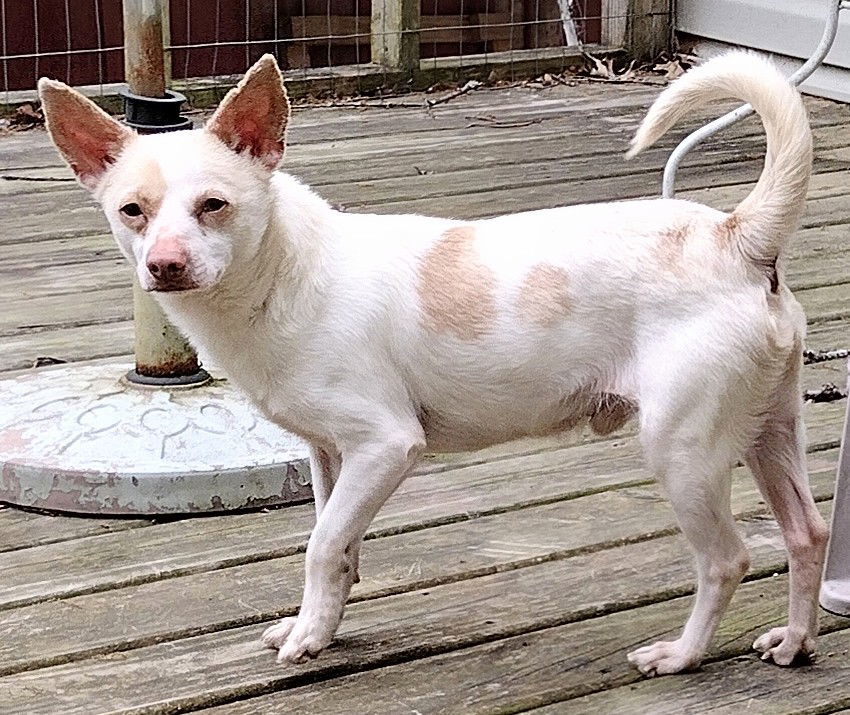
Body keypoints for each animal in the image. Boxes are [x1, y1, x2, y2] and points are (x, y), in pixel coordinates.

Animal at [36, 51, 824, 676]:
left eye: (214, 206)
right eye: (132, 211)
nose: (165, 266)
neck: (285, 275)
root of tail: (737, 235)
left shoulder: (386, 445)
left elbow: (320, 544)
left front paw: (308, 638)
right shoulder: (332, 455)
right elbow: (340, 544)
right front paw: (319, 627)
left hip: (683, 449)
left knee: (726, 559)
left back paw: (681, 655)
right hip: (768, 430)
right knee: (806, 532)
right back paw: (793, 642)